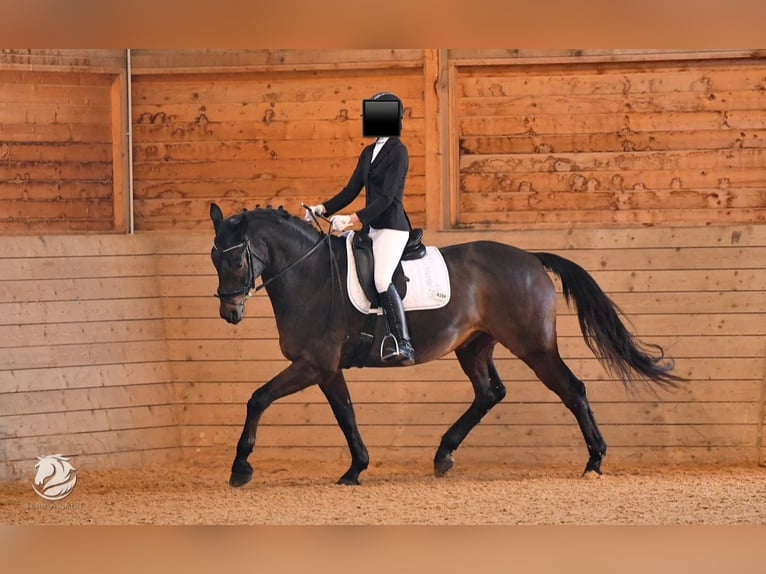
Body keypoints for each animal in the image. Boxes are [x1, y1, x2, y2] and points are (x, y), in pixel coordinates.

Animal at [208, 202, 684, 486]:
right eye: (214, 258)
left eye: (237, 260)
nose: (230, 313)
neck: (311, 277)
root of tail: (530, 258)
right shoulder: (327, 369)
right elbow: (346, 415)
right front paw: (356, 468)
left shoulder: (314, 365)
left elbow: (258, 398)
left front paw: (240, 467)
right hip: (474, 345)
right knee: (490, 392)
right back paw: (443, 455)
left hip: (534, 346)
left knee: (572, 389)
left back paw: (595, 461)